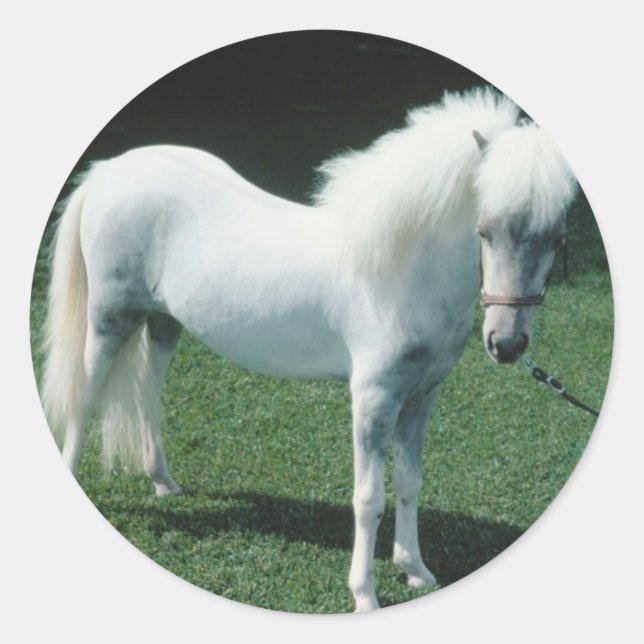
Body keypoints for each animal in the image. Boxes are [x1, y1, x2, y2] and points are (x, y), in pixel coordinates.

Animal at [40, 87, 577, 612]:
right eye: (484, 230)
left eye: (557, 238)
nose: (507, 344)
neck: (400, 270)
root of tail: (111, 171)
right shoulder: (373, 398)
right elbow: (369, 498)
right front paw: (364, 594)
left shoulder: (421, 397)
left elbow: (409, 483)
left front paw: (415, 571)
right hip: (109, 321)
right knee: (84, 397)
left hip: (163, 323)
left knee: (148, 392)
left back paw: (164, 483)